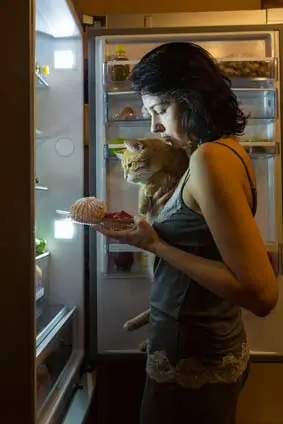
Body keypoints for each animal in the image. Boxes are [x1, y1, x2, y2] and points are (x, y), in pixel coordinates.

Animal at [117, 139, 191, 352]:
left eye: (130, 165)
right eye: (123, 167)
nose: (125, 176)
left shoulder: (177, 172)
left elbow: (158, 176)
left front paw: (147, 192)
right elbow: (143, 188)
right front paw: (143, 201)